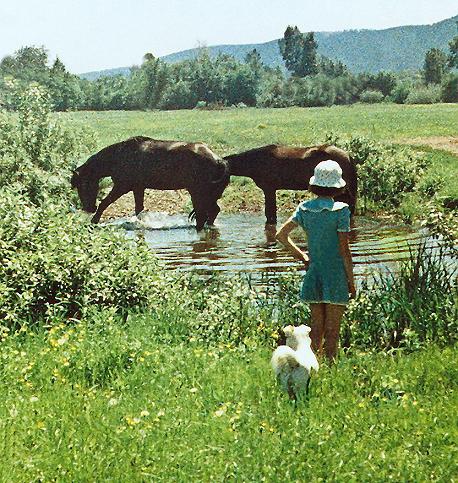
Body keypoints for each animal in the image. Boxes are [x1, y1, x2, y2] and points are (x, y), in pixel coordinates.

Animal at [71, 137, 229, 232]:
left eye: (83, 184)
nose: (89, 208)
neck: (120, 156)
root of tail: (220, 161)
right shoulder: (138, 188)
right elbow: (139, 209)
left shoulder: (122, 186)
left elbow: (105, 203)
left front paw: (94, 221)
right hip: (209, 195)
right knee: (213, 211)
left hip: (197, 193)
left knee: (202, 215)